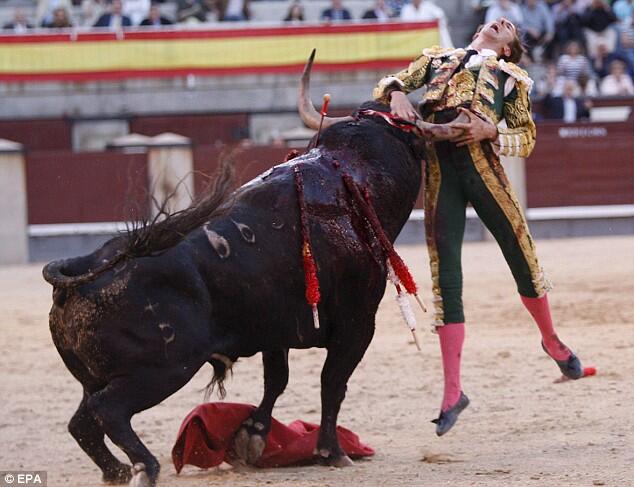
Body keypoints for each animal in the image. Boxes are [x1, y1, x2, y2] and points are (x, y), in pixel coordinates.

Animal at [42, 53, 460, 487]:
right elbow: (332, 383)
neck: (355, 170)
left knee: (82, 421)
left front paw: (253, 436)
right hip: (163, 369)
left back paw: (119, 471)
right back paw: (146, 467)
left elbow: (277, 380)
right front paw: (331, 451)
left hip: (100, 376)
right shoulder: (357, 324)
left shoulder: (275, 325)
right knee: (108, 411)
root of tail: (87, 266)